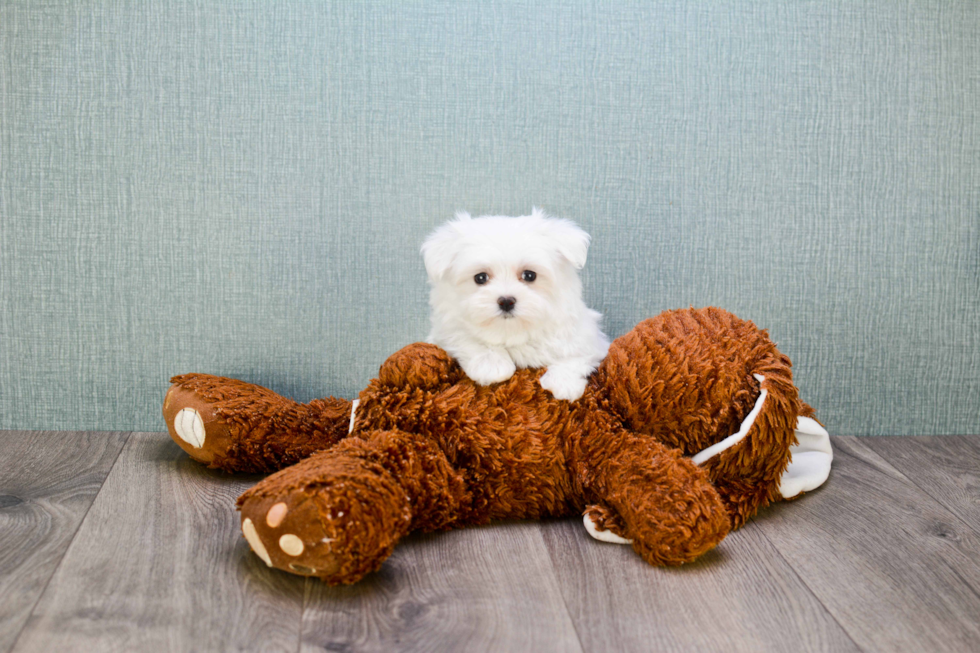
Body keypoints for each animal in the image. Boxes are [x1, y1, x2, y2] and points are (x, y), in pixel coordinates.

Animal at [424, 209, 608, 402]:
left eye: (529, 275)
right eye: (480, 277)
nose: (506, 301)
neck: (513, 332)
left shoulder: (589, 338)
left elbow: (577, 354)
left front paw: (563, 382)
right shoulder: (445, 329)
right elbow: (464, 336)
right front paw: (491, 364)